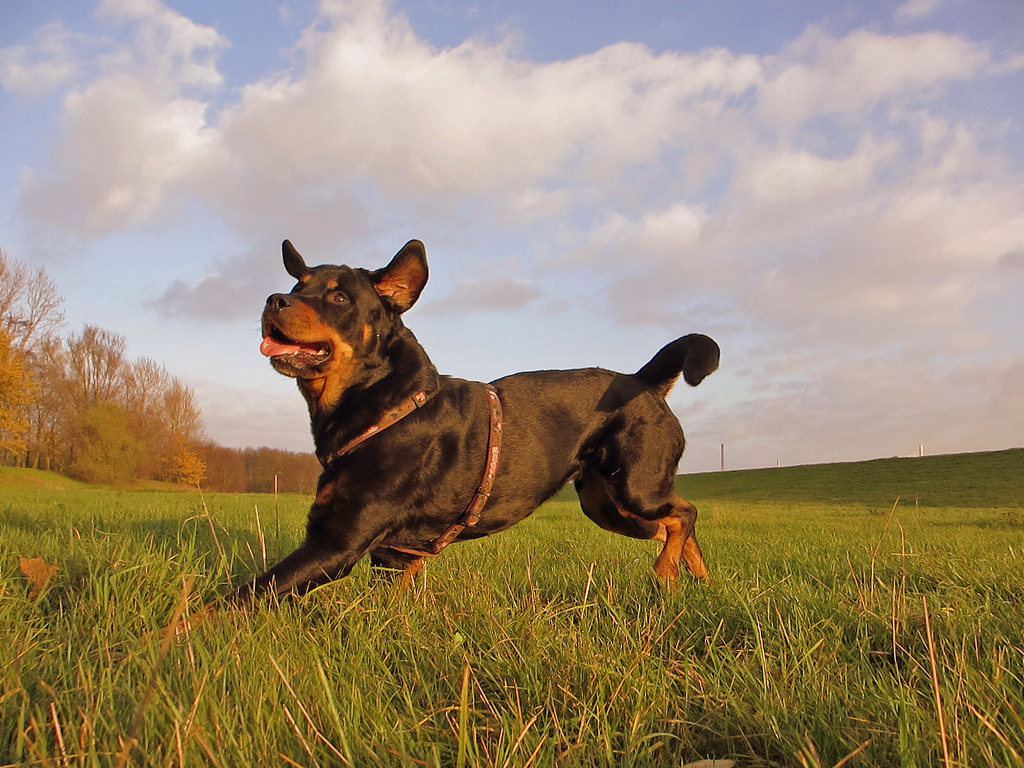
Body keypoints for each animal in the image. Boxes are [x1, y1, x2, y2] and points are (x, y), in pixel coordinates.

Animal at [226, 240, 720, 606]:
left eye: (339, 296)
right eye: (297, 283)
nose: (273, 299)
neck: (384, 402)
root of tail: (643, 381)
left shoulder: (336, 542)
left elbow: (241, 597)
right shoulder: (390, 555)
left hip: (635, 487)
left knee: (684, 513)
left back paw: (666, 573)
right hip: (607, 505)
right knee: (675, 524)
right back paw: (696, 581)